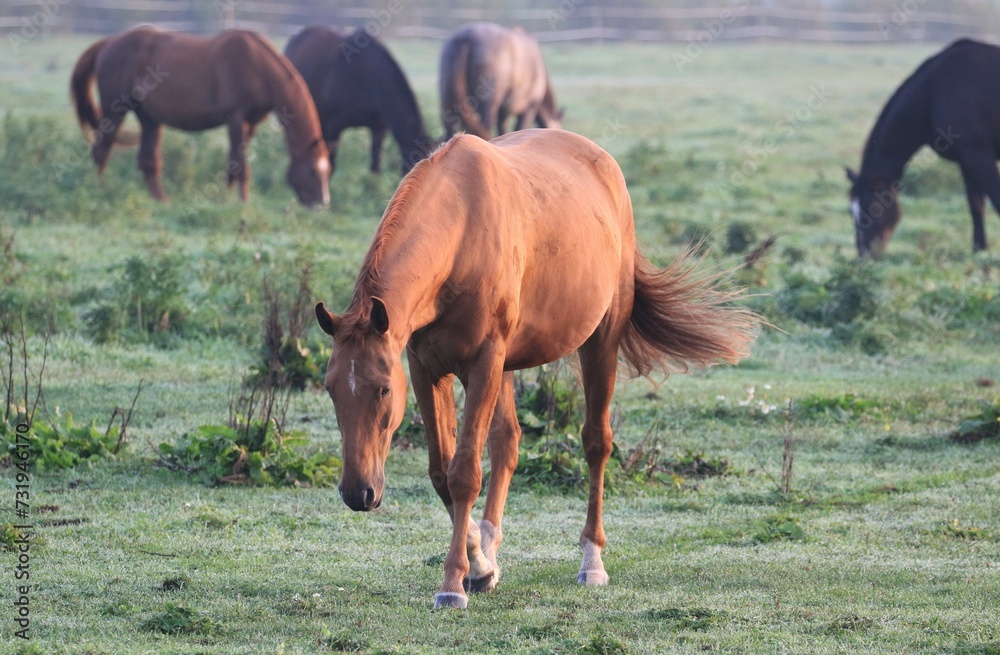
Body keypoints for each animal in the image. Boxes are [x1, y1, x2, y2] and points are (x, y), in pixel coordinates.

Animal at [70, 26, 330, 206]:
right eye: (313, 171)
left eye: (327, 172)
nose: (321, 204)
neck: (258, 67)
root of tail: (109, 43)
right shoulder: (236, 119)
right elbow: (239, 166)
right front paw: (239, 202)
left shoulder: (251, 124)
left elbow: (235, 163)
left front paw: (229, 199)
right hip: (115, 110)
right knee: (101, 150)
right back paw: (99, 191)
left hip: (149, 119)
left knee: (147, 161)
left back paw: (162, 201)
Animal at [314, 129, 758, 609]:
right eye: (331, 389)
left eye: (381, 390)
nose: (357, 493)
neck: (462, 233)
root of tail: (603, 163)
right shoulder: (425, 367)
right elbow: (441, 473)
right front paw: (479, 567)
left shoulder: (483, 362)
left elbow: (464, 474)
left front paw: (452, 585)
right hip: (507, 366)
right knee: (507, 442)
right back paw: (489, 553)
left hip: (599, 341)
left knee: (596, 443)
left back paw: (592, 561)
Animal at [847, 38, 1000, 256]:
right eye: (851, 211)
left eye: (873, 209)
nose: (865, 254)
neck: (935, 90)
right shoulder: (968, 159)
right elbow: (976, 205)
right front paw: (979, 249)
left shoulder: (979, 155)